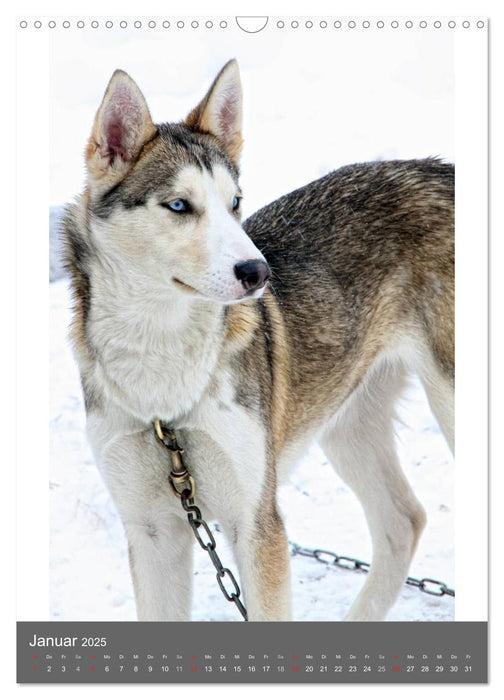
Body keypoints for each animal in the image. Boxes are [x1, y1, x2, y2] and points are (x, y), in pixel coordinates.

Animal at [63, 58, 452, 616]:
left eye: (235, 203)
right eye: (179, 206)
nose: (258, 272)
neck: (163, 377)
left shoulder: (255, 522)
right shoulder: (151, 530)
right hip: (348, 424)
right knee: (404, 521)